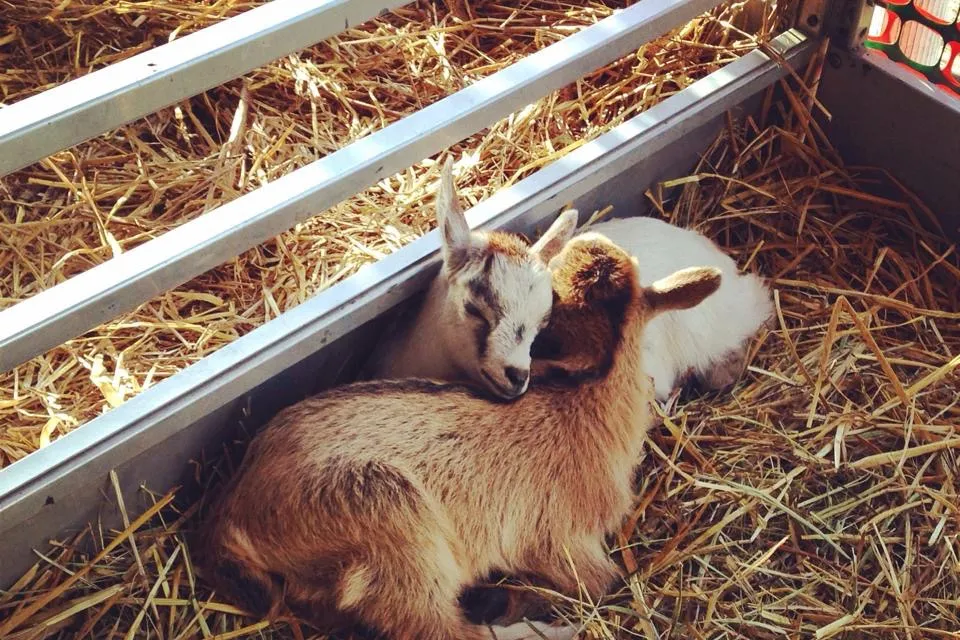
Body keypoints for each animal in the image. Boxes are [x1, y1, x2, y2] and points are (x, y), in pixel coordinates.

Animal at [203, 233, 722, 640]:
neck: (583, 403)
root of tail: (232, 513)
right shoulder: (566, 544)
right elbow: (606, 582)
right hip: (394, 532)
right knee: (438, 629)